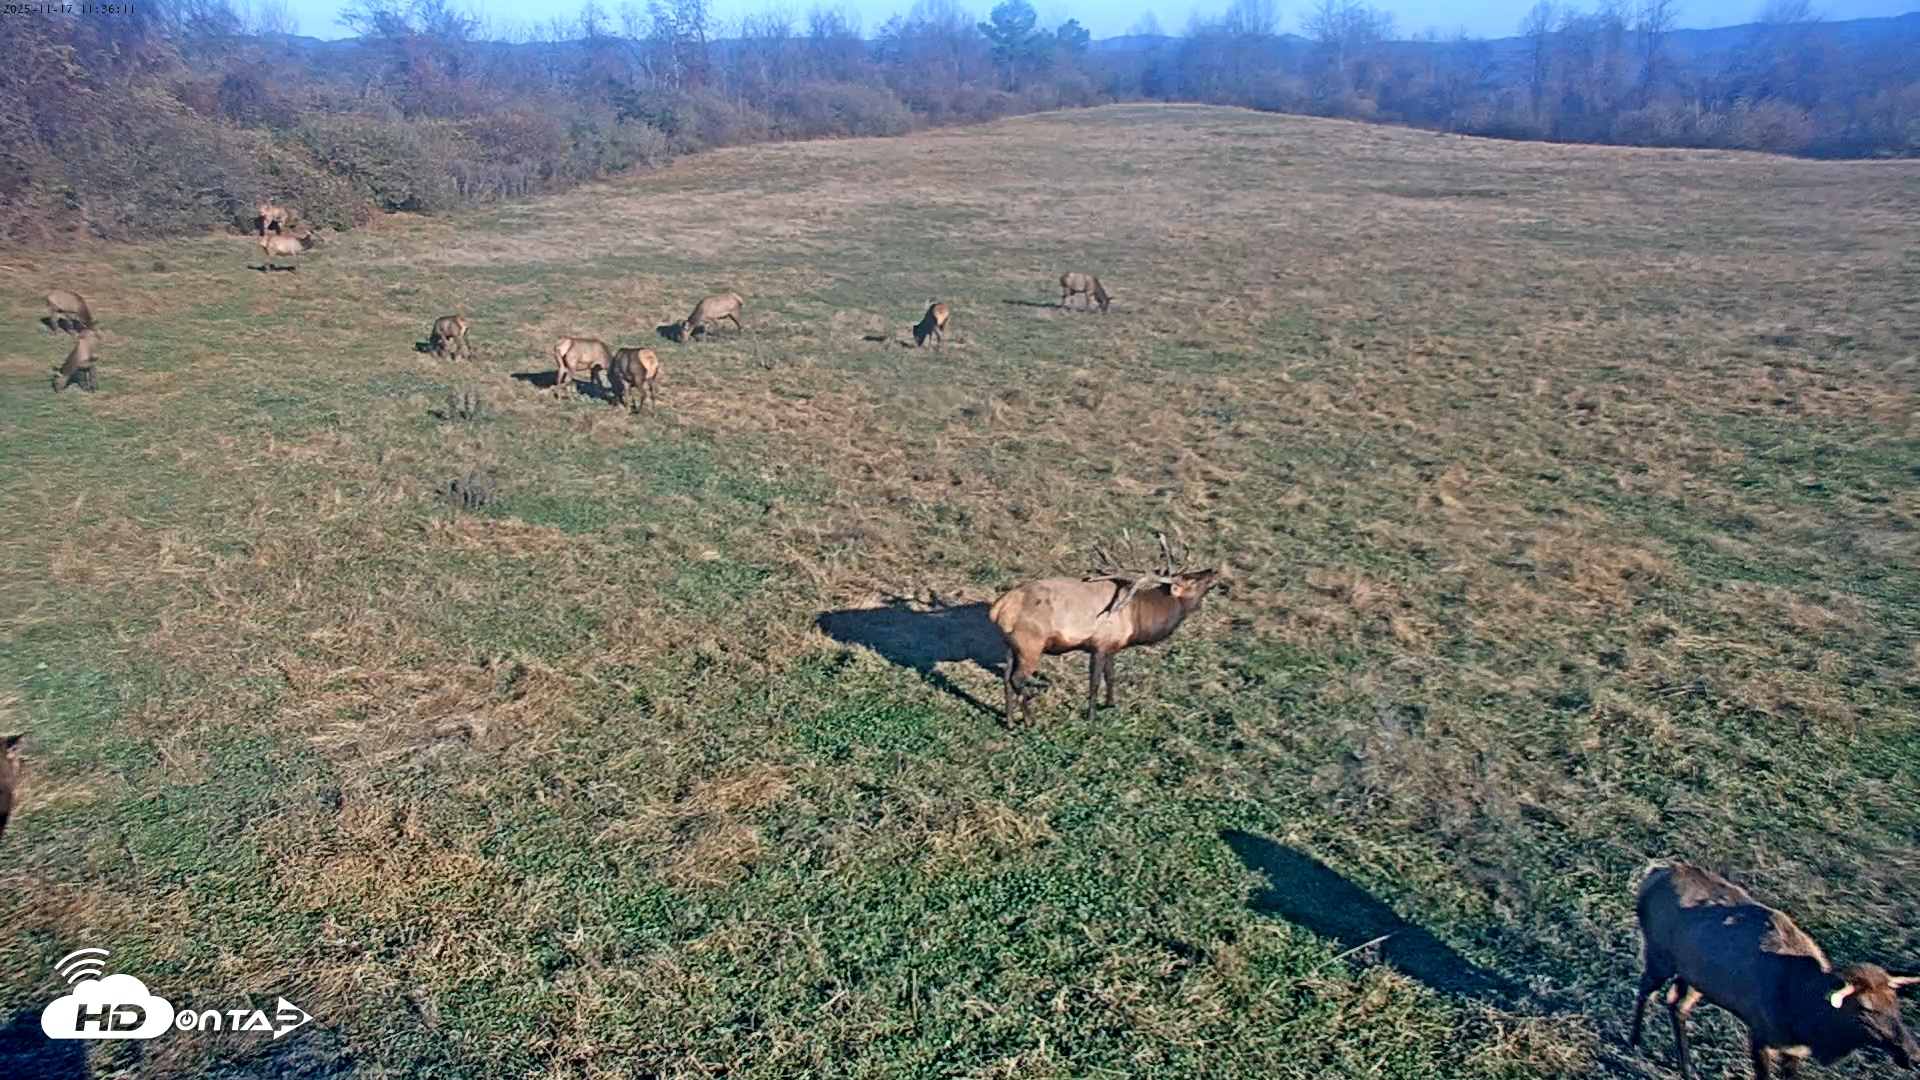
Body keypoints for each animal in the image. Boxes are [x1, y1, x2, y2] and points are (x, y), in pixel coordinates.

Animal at [989, 534, 1220, 726]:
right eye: (1191, 578)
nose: (1212, 570)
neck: (1137, 617)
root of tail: (1000, 608)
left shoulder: (1112, 646)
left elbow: (1110, 676)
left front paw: (1110, 704)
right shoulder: (1099, 645)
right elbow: (1094, 683)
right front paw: (1091, 718)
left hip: (1011, 644)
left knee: (1006, 677)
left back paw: (1010, 721)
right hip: (1031, 643)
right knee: (1017, 679)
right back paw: (1029, 720)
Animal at [1630, 860, 1920, 1080]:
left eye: (1896, 1004)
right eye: (1865, 1008)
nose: (1914, 1055)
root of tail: (1654, 872)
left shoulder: (1793, 1049)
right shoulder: (1760, 1033)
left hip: (1695, 978)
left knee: (1676, 1005)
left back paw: (1687, 1068)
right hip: (1659, 954)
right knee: (1645, 989)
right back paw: (1635, 1040)